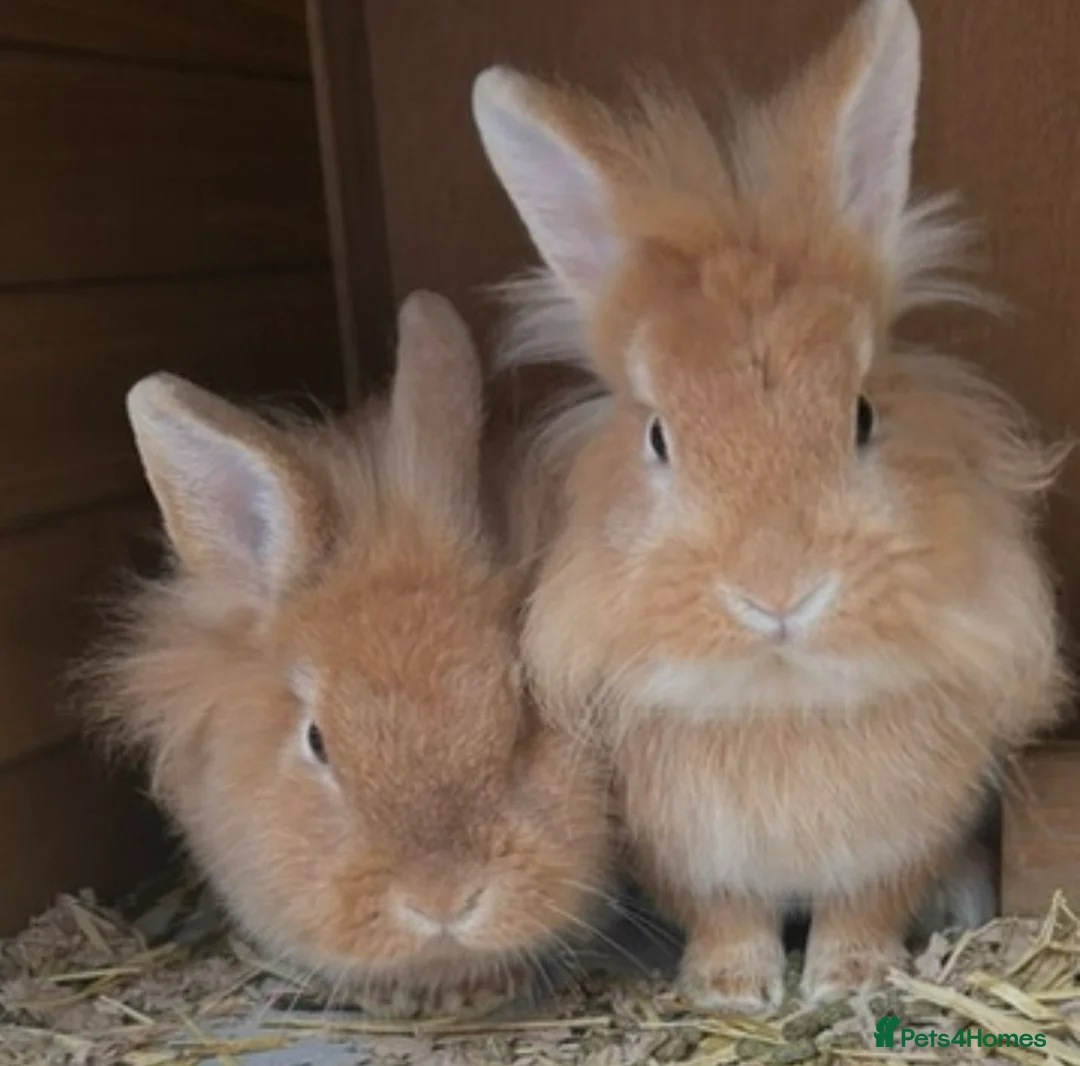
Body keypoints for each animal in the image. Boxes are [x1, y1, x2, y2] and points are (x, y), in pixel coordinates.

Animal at [470, 0, 1069, 1013]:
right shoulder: (686, 856)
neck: (778, 697)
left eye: (862, 415)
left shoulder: (900, 839)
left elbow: (864, 905)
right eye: (659, 436)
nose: (779, 593)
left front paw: (847, 981)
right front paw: (731, 990)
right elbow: (729, 917)